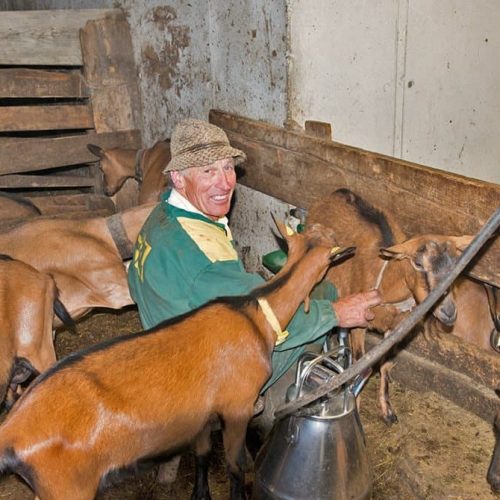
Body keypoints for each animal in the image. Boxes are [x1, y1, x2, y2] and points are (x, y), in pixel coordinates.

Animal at [306, 189, 470, 424]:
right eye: (418, 263)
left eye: (458, 264)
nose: (449, 312)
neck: (386, 285)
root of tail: (338, 192)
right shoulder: (359, 324)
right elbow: (360, 363)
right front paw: (355, 408)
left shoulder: (395, 330)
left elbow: (384, 364)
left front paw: (387, 410)